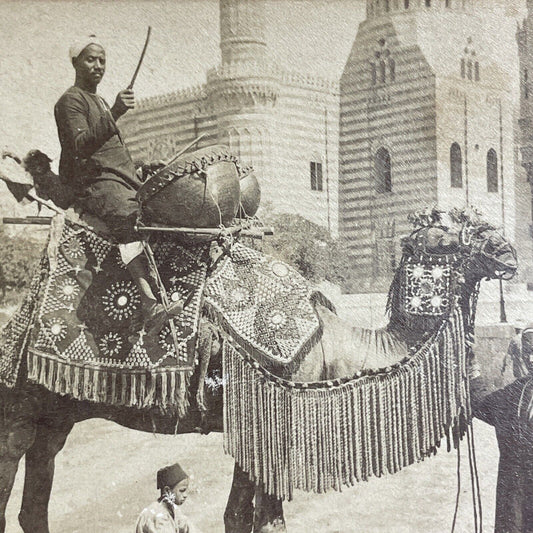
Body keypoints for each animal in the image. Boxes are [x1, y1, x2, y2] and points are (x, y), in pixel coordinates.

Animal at [0, 205, 516, 532]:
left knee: (36, 496)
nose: (506, 251)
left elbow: (236, 516)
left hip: (56, 416)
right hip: (16, 408)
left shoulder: (254, 425)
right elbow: (268, 521)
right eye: (447, 231)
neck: (337, 343)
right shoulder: (275, 419)